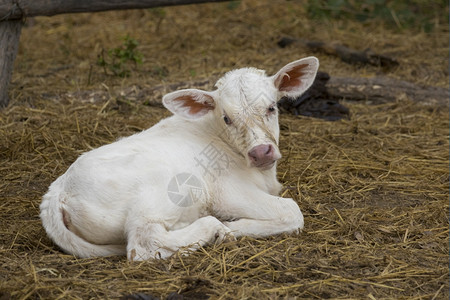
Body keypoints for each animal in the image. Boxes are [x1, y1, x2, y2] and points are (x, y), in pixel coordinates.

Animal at [39, 56, 320, 260]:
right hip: (166, 190)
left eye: (272, 107)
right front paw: (235, 226)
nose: (261, 152)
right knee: (143, 243)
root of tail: (57, 192)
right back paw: (217, 229)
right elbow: (292, 211)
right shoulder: (227, 192)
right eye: (227, 118)